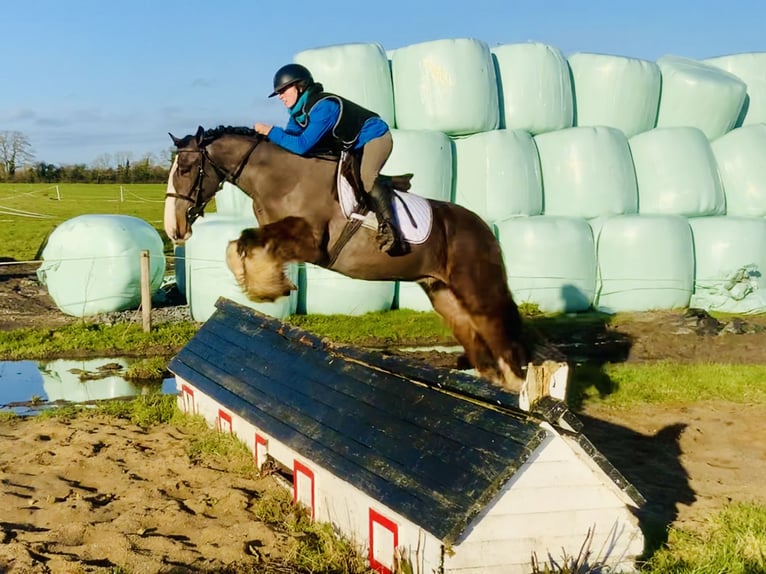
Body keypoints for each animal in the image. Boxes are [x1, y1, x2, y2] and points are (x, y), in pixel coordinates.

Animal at [166, 125, 532, 396]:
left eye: (185, 169)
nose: (174, 228)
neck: (284, 179)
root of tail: (483, 228)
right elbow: (239, 243)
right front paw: (263, 286)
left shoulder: (313, 244)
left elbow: (247, 241)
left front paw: (268, 286)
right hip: (443, 295)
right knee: (480, 347)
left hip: (477, 290)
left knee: (501, 338)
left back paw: (519, 389)